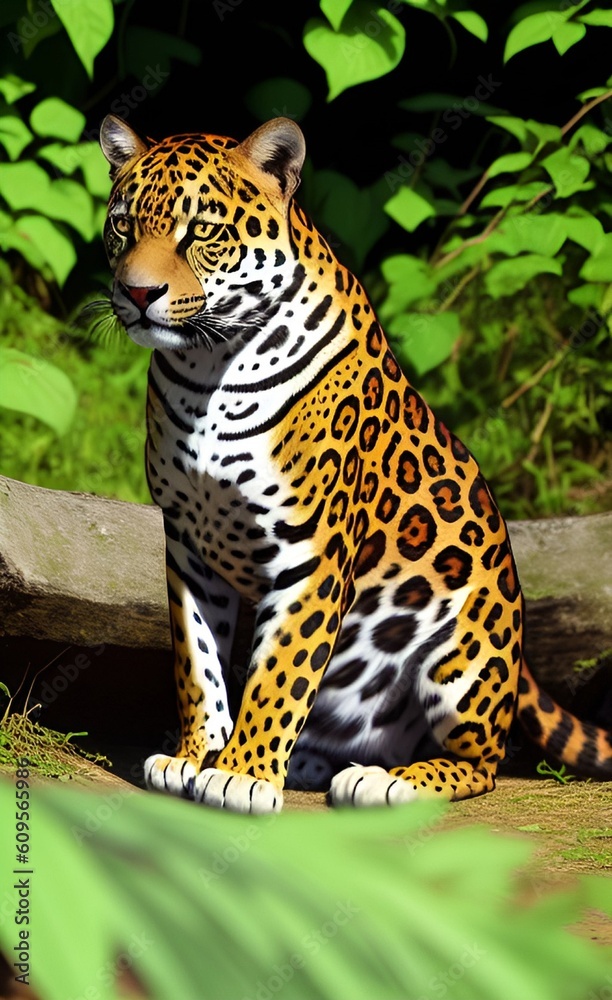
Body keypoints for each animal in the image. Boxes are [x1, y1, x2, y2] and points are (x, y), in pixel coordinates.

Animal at [99, 113, 612, 814]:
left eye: (201, 231)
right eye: (123, 225)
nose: (137, 292)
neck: (207, 367)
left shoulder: (309, 548)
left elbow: (280, 672)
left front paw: (240, 775)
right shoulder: (187, 545)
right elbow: (198, 663)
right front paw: (195, 756)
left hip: (464, 652)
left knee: (484, 762)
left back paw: (388, 779)